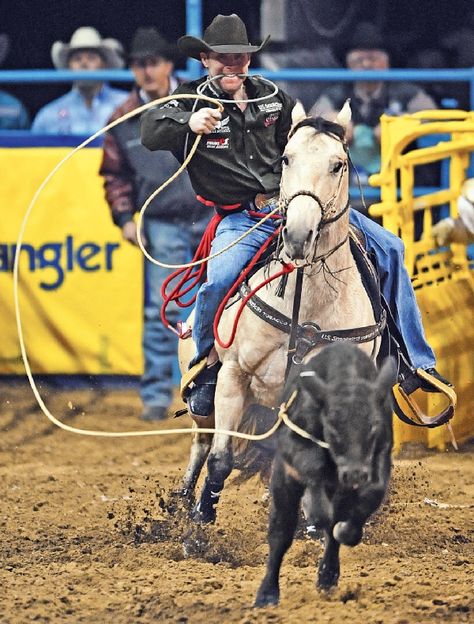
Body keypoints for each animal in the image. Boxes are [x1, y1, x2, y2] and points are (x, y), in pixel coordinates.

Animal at [180, 102, 386, 520]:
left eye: (338, 164)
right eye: (287, 158)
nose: (298, 235)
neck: (305, 309)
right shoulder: (234, 376)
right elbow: (221, 459)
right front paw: (201, 519)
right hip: (205, 401)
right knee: (202, 441)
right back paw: (180, 504)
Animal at [256, 344, 396, 608]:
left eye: (373, 425)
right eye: (332, 424)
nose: (355, 473)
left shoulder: (381, 453)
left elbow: (370, 495)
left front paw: (346, 531)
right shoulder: (293, 447)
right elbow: (313, 466)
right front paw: (315, 509)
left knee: (331, 532)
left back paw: (327, 577)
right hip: (282, 484)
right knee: (280, 533)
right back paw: (267, 594)